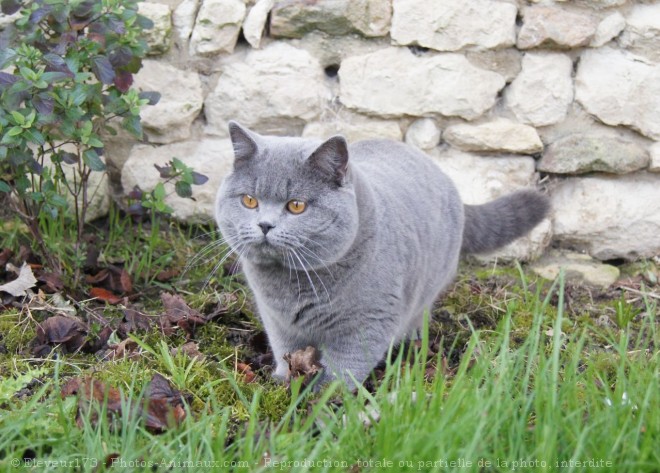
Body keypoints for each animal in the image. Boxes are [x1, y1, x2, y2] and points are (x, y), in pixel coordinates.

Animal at [214, 121, 548, 388]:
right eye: (249, 200)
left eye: (296, 206)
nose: (264, 224)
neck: (292, 283)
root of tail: (437, 167)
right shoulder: (277, 321)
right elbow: (286, 351)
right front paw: (284, 384)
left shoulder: (368, 324)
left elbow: (343, 370)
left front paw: (321, 404)